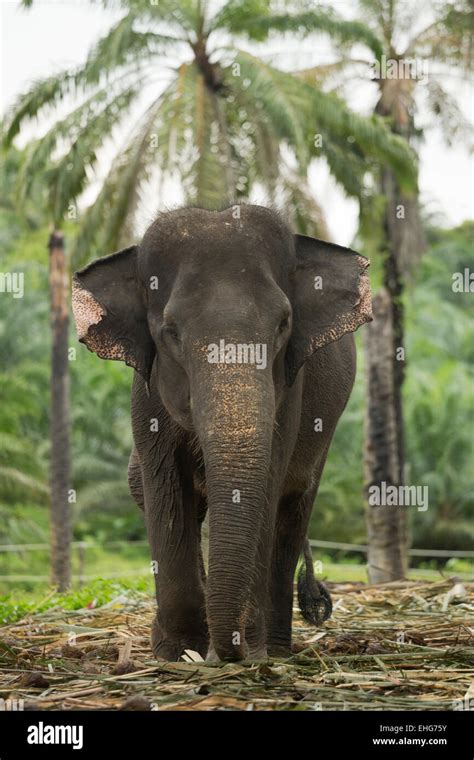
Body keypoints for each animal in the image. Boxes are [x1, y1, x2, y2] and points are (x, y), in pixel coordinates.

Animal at [72, 205, 372, 664]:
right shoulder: (147, 392)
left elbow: (267, 483)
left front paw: (245, 649)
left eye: (283, 324)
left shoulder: (290, 389)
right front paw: (179, 652)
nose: (233, 649)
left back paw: (276, 649)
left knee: (291, 519)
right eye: (171, 331)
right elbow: (164, 488)